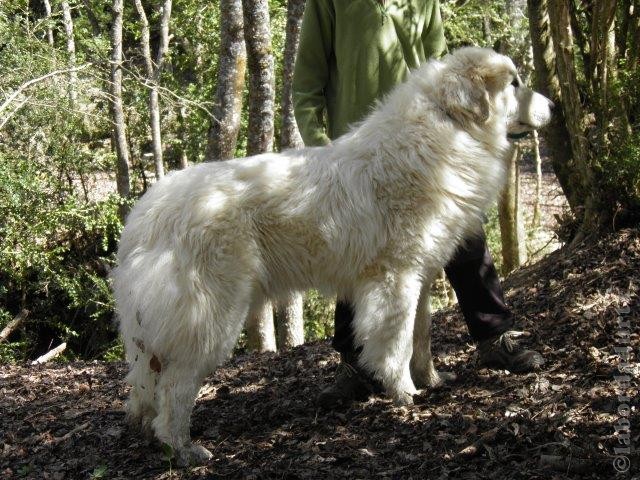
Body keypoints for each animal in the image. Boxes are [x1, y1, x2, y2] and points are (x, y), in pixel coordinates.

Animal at [112, 47, 552, 464]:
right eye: (514, 83)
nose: (552, 106)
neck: (448, 131)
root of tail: (144, 213)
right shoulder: (396, 279)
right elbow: (397, 342)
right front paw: (405, 393)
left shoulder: (420, 276)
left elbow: (421, 336)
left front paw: (430, 380)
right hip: (209, 316)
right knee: (176, 387)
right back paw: (183, 448)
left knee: (151, 384)